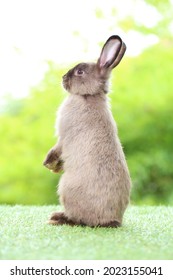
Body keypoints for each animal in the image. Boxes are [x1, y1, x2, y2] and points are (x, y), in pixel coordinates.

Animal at [43, 35, 131, 228]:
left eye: (80, 72)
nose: (63, 77)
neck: (87, 96)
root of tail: (111, 219)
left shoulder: (63, 137)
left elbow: (56, 150)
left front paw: (49, 165)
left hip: (66, 189)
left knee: (79, 220)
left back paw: (56, 218)